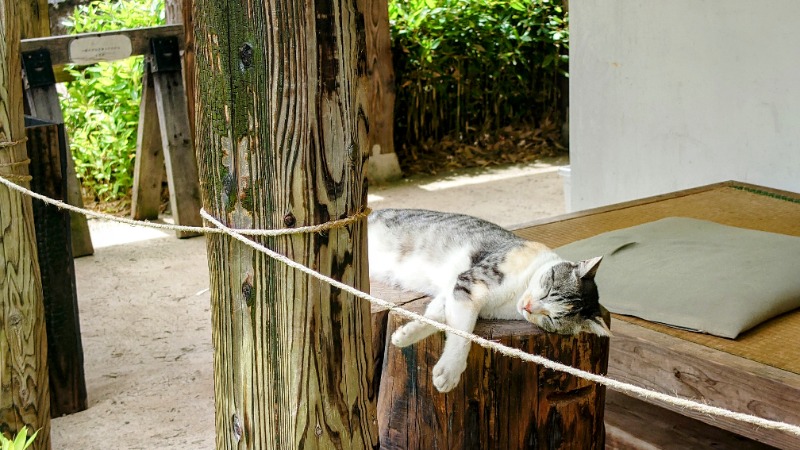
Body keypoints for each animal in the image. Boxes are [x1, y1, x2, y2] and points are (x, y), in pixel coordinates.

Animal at [368, 209, 612, 392]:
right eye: (548, 287)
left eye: (552, 319)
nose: (528, 306)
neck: (515, 297)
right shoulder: (472, 282)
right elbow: (463, 332)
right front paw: (450, 371)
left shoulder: (454, 290)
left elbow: (436, 316)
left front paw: (405, 335)